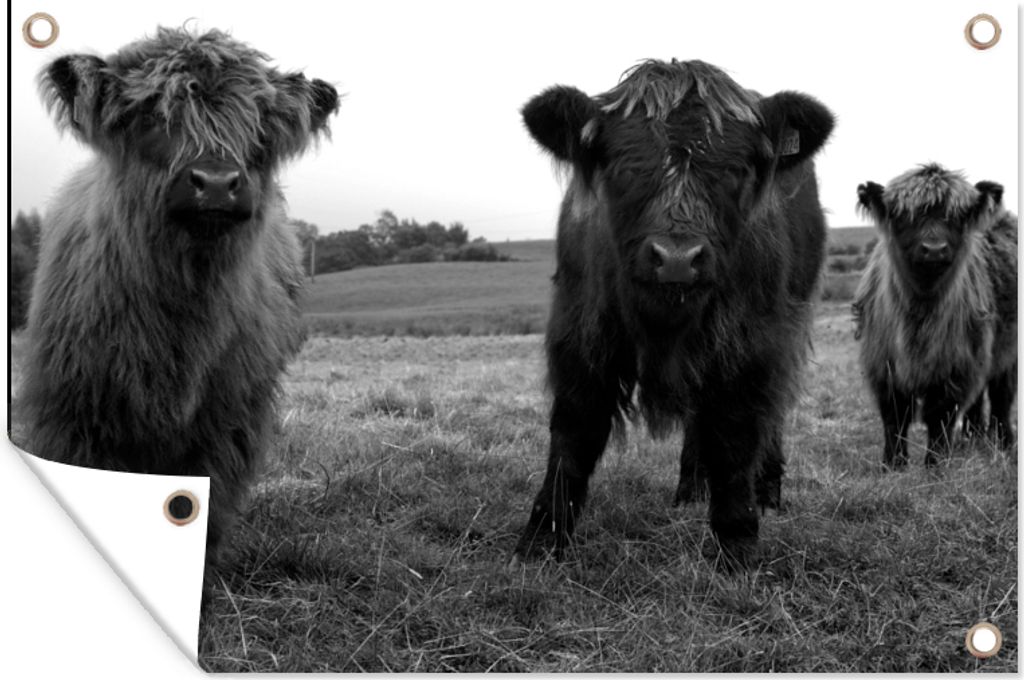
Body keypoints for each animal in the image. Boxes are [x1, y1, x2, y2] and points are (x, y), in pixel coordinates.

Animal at [513, 59, 835, 566]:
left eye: (735, 170)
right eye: (624, 167)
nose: (678, 258)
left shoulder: (751, 345)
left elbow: (736, 436)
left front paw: (737, 540)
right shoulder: (580, 334)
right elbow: (573, 434)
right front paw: (543, 536)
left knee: (770, 414)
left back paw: (766, 491)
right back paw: (690, 489)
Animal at [854, 164, 1017, 468]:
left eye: (956, 217)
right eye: (905, 216)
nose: (934, 249)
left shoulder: (954, 365)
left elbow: (940, 416)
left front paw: (936, 464)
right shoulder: (883, 364)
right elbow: (895, 416)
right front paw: (893, 464)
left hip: (1005, 350)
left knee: (1002, 395)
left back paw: (1003, 444)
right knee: (978, 399)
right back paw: (972, 439)